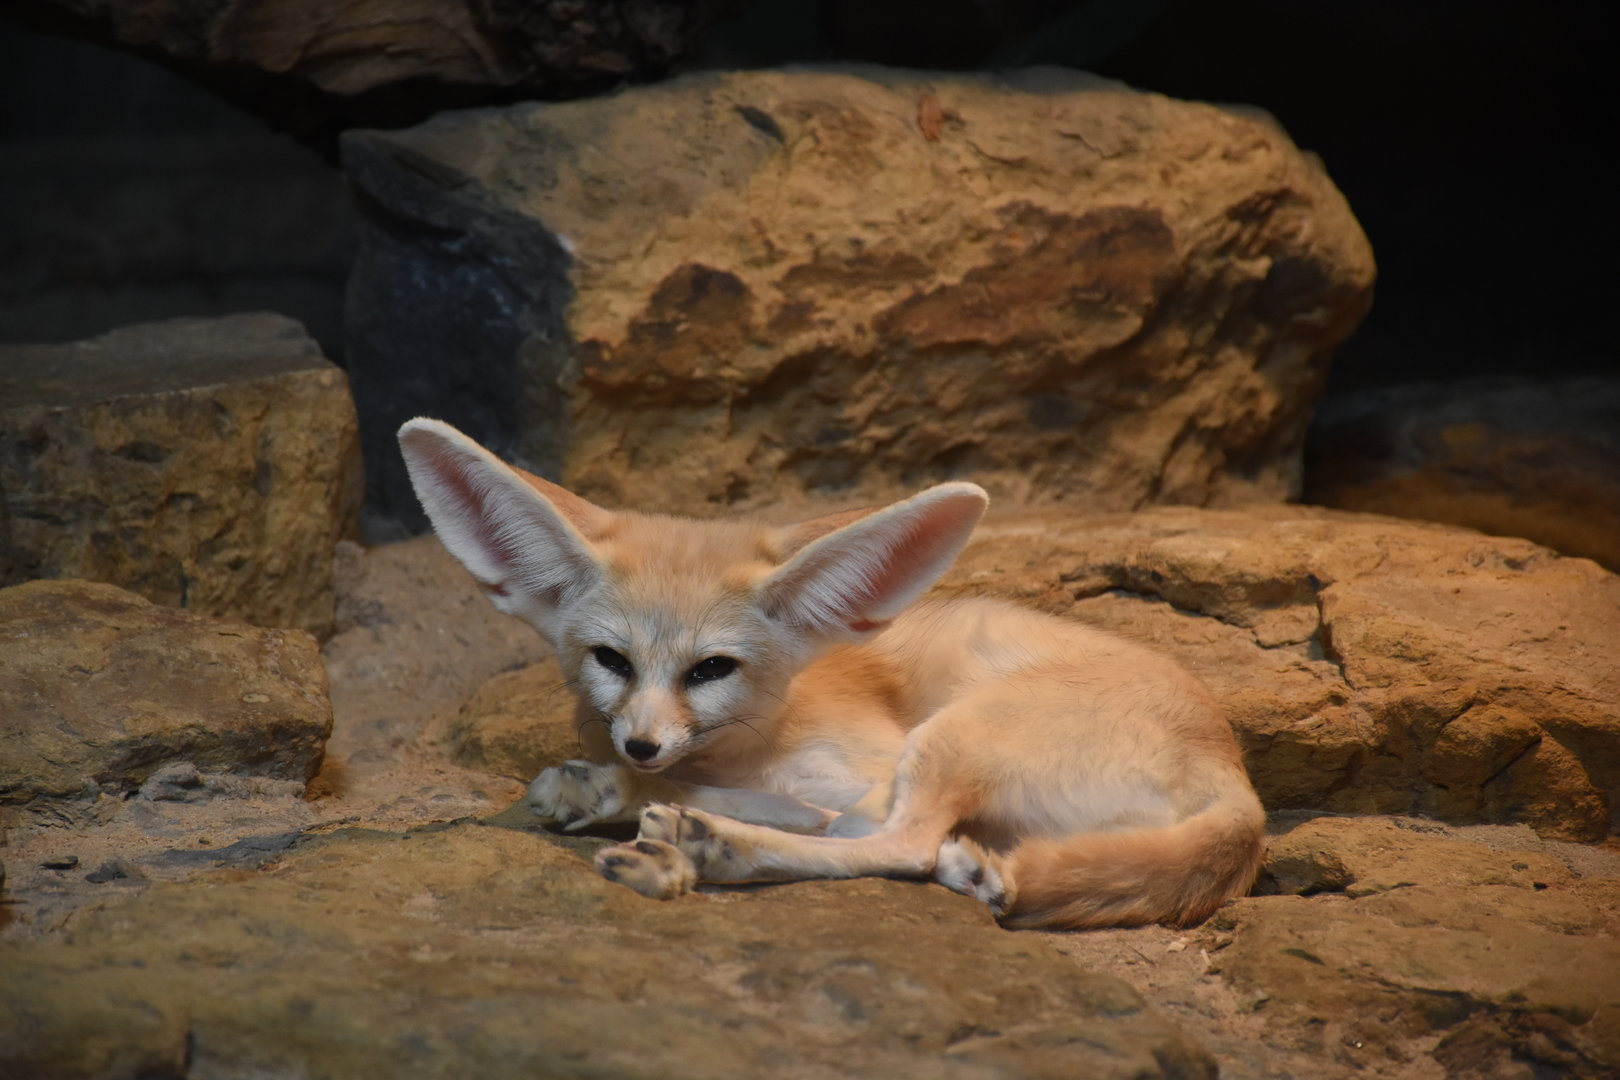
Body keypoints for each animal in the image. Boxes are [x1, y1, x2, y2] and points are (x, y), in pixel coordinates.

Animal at [398, 417, 1266, 929]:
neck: (755, 742)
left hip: (948, 738)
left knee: (902, 845)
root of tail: (1240, 787)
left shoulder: (866, 769)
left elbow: (829, 822)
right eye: (612, 660)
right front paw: (622, 791)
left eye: (712, 669)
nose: (640, 745)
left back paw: (708, 847)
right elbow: (757, 800)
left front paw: (665, 814)